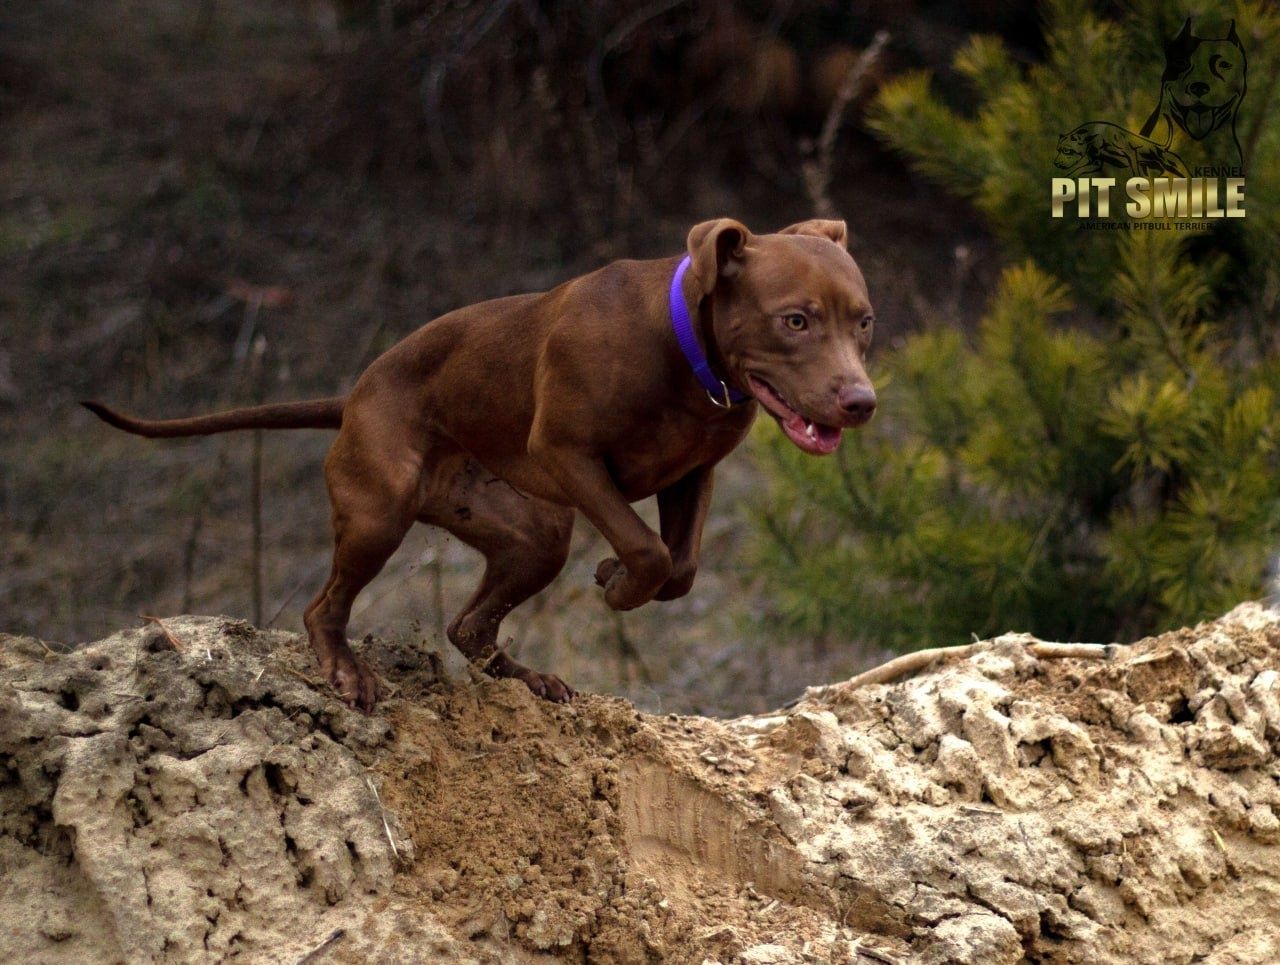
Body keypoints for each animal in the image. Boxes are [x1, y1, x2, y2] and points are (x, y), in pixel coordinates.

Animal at [85, 217, 875, 706]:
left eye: (863, 321)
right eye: (795, 320)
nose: (862, 401)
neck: (684, 353)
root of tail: (354, 393)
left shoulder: (691, 476)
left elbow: (678, 569)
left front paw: (619, 580)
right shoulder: (565, 452)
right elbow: (648, 551)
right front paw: (618, 581)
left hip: (531, 536)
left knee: (469, 627)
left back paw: (527, 679)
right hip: (380, 510)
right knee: (322, 607)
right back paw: (346, 671)